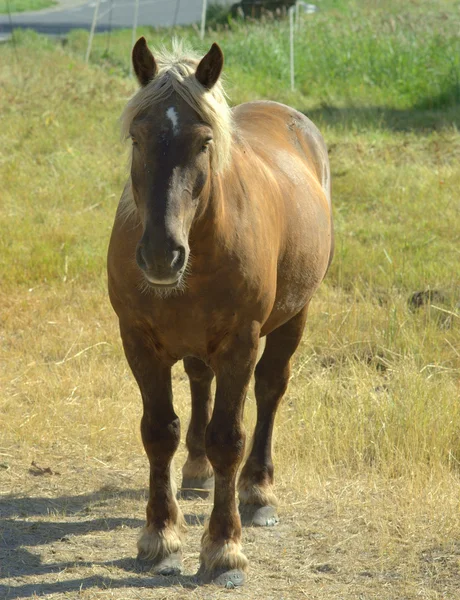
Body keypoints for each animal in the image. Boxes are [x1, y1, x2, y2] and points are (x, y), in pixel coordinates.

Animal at [106, 37, 332, 584]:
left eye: (203, 143)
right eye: (138, 139)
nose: (161, 254)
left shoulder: (239, 343)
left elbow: (228, 437)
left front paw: (224, 548)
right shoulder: (138, 340)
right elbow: (158, 432)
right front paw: (160, 537)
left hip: (294, 317)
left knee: (270, 389)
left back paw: (258, 490)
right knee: (198, 382)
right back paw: (195, 471)